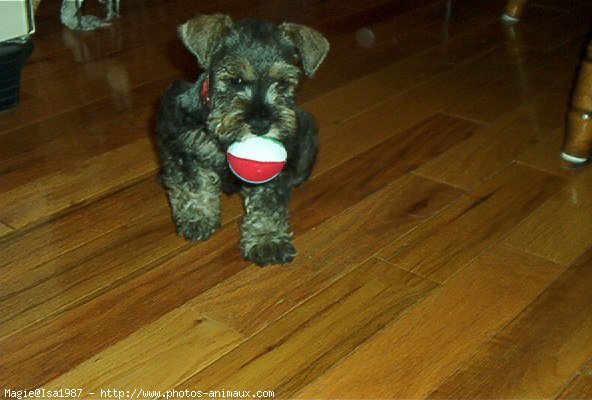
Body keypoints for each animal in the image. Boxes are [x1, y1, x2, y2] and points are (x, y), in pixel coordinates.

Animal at [155, 14, 330, 268]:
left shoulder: (275, 171)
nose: (261, 124)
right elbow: (193, 184)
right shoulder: (183, 147)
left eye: (283, 83)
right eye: (235, 80)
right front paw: (198, 217)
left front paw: (267, 239)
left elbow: (267, 204)